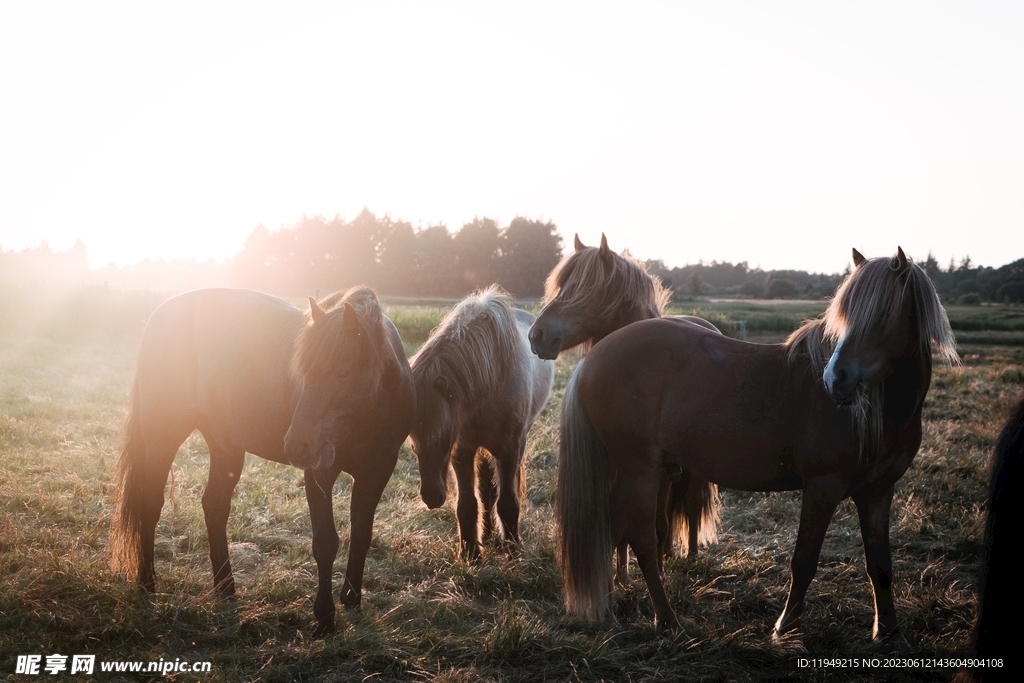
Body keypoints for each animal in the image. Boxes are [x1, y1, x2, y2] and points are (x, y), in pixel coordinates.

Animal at [108, 287, 415, 637]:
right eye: (302, 372)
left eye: (342, 373)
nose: (296, 445)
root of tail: (161, 312)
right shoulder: (320, 472)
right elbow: (326, 542)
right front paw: (324, 617)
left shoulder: (377, 472)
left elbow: (362, 536)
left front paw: (352, 602)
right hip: (163, 437)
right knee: (150, 504)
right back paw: (147, 585)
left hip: (226, 446)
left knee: (214, 506)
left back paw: (226, 590)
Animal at [409, 286, 554, 560]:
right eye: (413, 446)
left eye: (443, 438)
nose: (432, 498)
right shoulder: (464, 451)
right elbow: (467, 503)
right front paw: (470, 553)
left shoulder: (508, 451)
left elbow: (507, 501)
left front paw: (513, 549)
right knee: (486, 490)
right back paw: (486, 535)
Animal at [528, 233, 721, 568]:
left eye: (583, 287)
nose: (535, 335)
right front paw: (623, 573)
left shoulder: (657, 471)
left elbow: (659, 522)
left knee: (692, 505)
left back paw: (691, 556)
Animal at [557, 247, 958, 647]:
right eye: (845, 314)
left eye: (883, 314)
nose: (835, 379)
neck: (882, 411)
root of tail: (594, 357)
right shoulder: (822, 488)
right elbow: (804, 561)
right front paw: (786, 630)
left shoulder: (878, 493)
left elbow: (880, 565)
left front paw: (889, 633)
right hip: (640, 468)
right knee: (639, 537)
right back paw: (667, 621)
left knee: (611, 533)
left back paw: (610, 610)